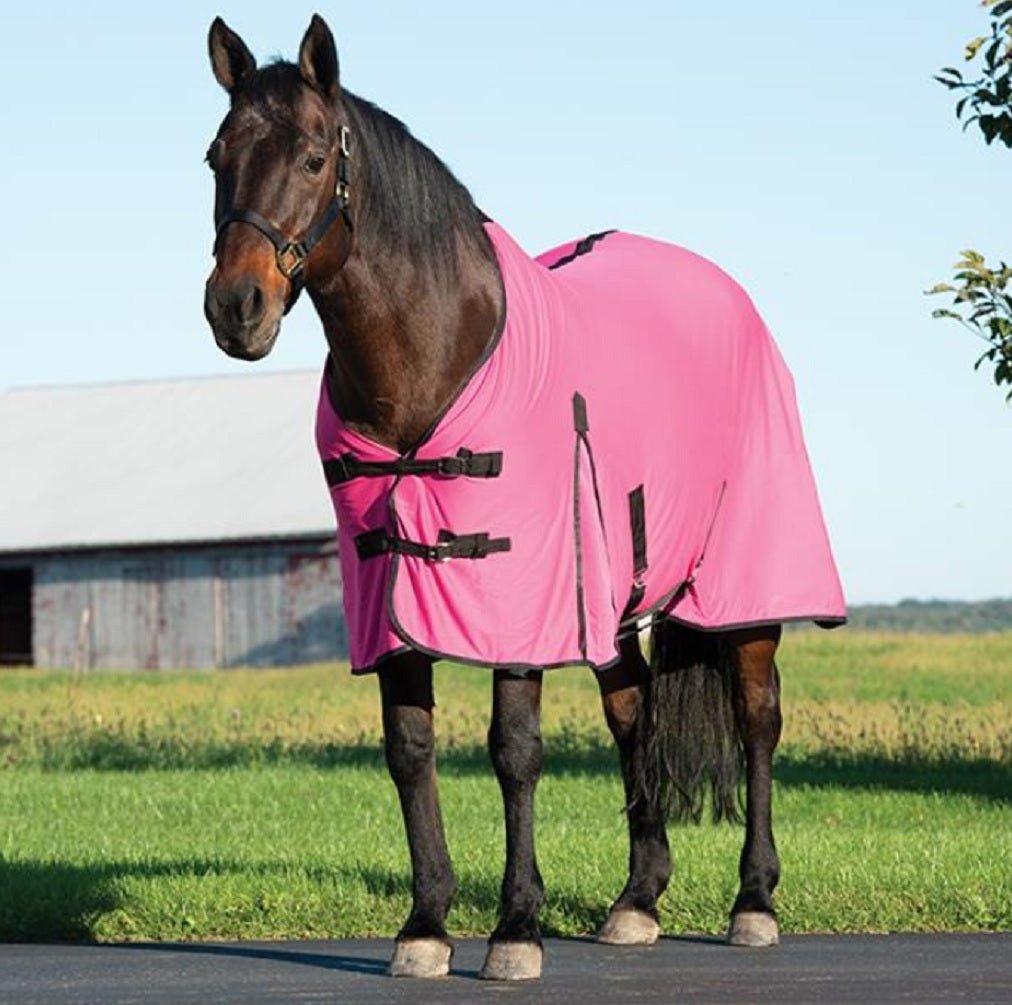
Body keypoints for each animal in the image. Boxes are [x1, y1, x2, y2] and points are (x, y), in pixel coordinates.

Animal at [203, 15, 845, 982]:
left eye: (314, 158)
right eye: (216, 156)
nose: (236, 307)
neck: (436, 356)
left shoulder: (516, 591)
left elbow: (514, 751)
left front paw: (515, 928)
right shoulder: (389, 596)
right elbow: (409, 749)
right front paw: (425, 924)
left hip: (743, 584)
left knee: (759, 719)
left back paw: (754, 901)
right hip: (610, 594)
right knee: (633, 713)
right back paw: (637, 899)